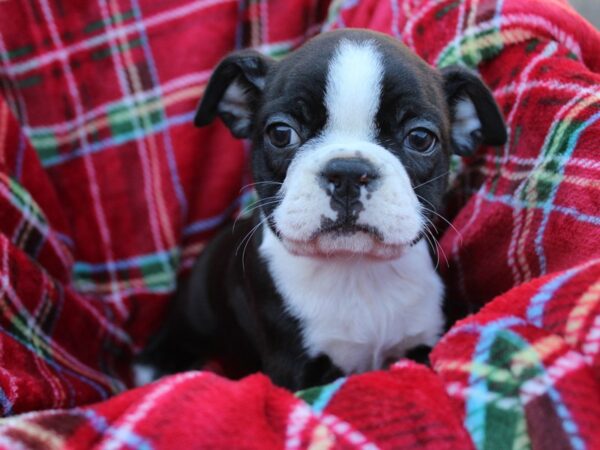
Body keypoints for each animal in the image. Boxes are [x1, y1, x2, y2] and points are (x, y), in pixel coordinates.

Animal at [138, 28, 508, 390]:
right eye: (281, 133)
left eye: (420, 138)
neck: (355, 270)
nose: (347, 172)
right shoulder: (296, 370)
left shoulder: (423, 339)